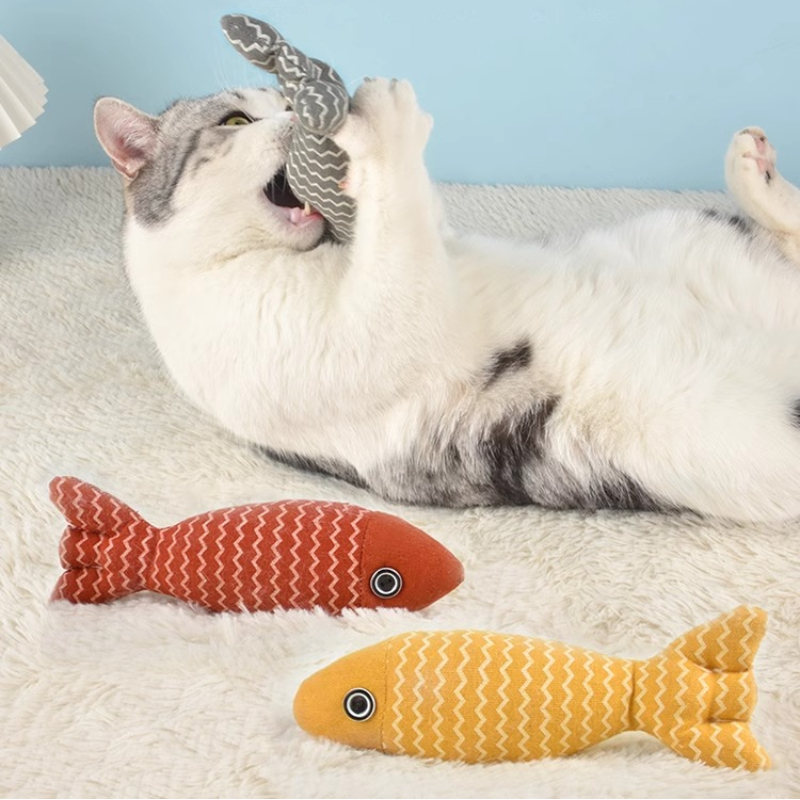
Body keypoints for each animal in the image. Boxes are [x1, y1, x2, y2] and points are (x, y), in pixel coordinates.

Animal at [94, 78, 800, 522]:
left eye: (286, 100)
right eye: (237, 120)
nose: (304, 113)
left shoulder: (432, 246)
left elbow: (416, 215)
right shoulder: (363, 335)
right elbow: (400, 247)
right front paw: (388, 119)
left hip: (687, 237)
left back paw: (754, 170)